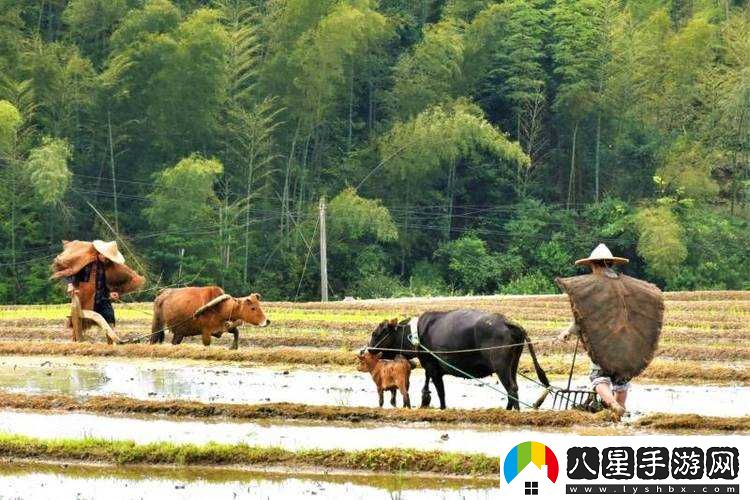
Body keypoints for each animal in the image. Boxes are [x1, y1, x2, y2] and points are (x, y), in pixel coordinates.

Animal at [370, 308, 552, 410]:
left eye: (376, 333)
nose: (367, 350)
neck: (416, 334)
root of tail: (508, 323)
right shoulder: (431, 368)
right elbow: (428, 388)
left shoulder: (433, 368)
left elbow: (440, 392)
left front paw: (442, 408)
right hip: (512, 365)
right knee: (512, 389)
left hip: (501, 367)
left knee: (512, 389)